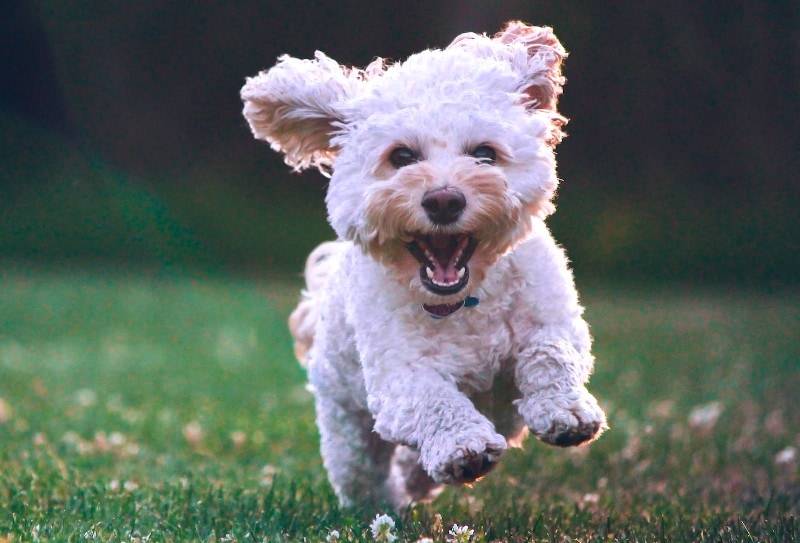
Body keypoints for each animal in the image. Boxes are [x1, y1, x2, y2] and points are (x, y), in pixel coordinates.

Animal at [242, 20, 608, 506]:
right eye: (401, 156)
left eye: (485, 153)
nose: (444, 200)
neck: (465, 301)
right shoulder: (399, 376)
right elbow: (434, 399)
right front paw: (462, 446)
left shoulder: (554, 318)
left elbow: (551, 352)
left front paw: (566, 411)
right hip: (346, 424)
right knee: (362, 473)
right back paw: (387, 502)